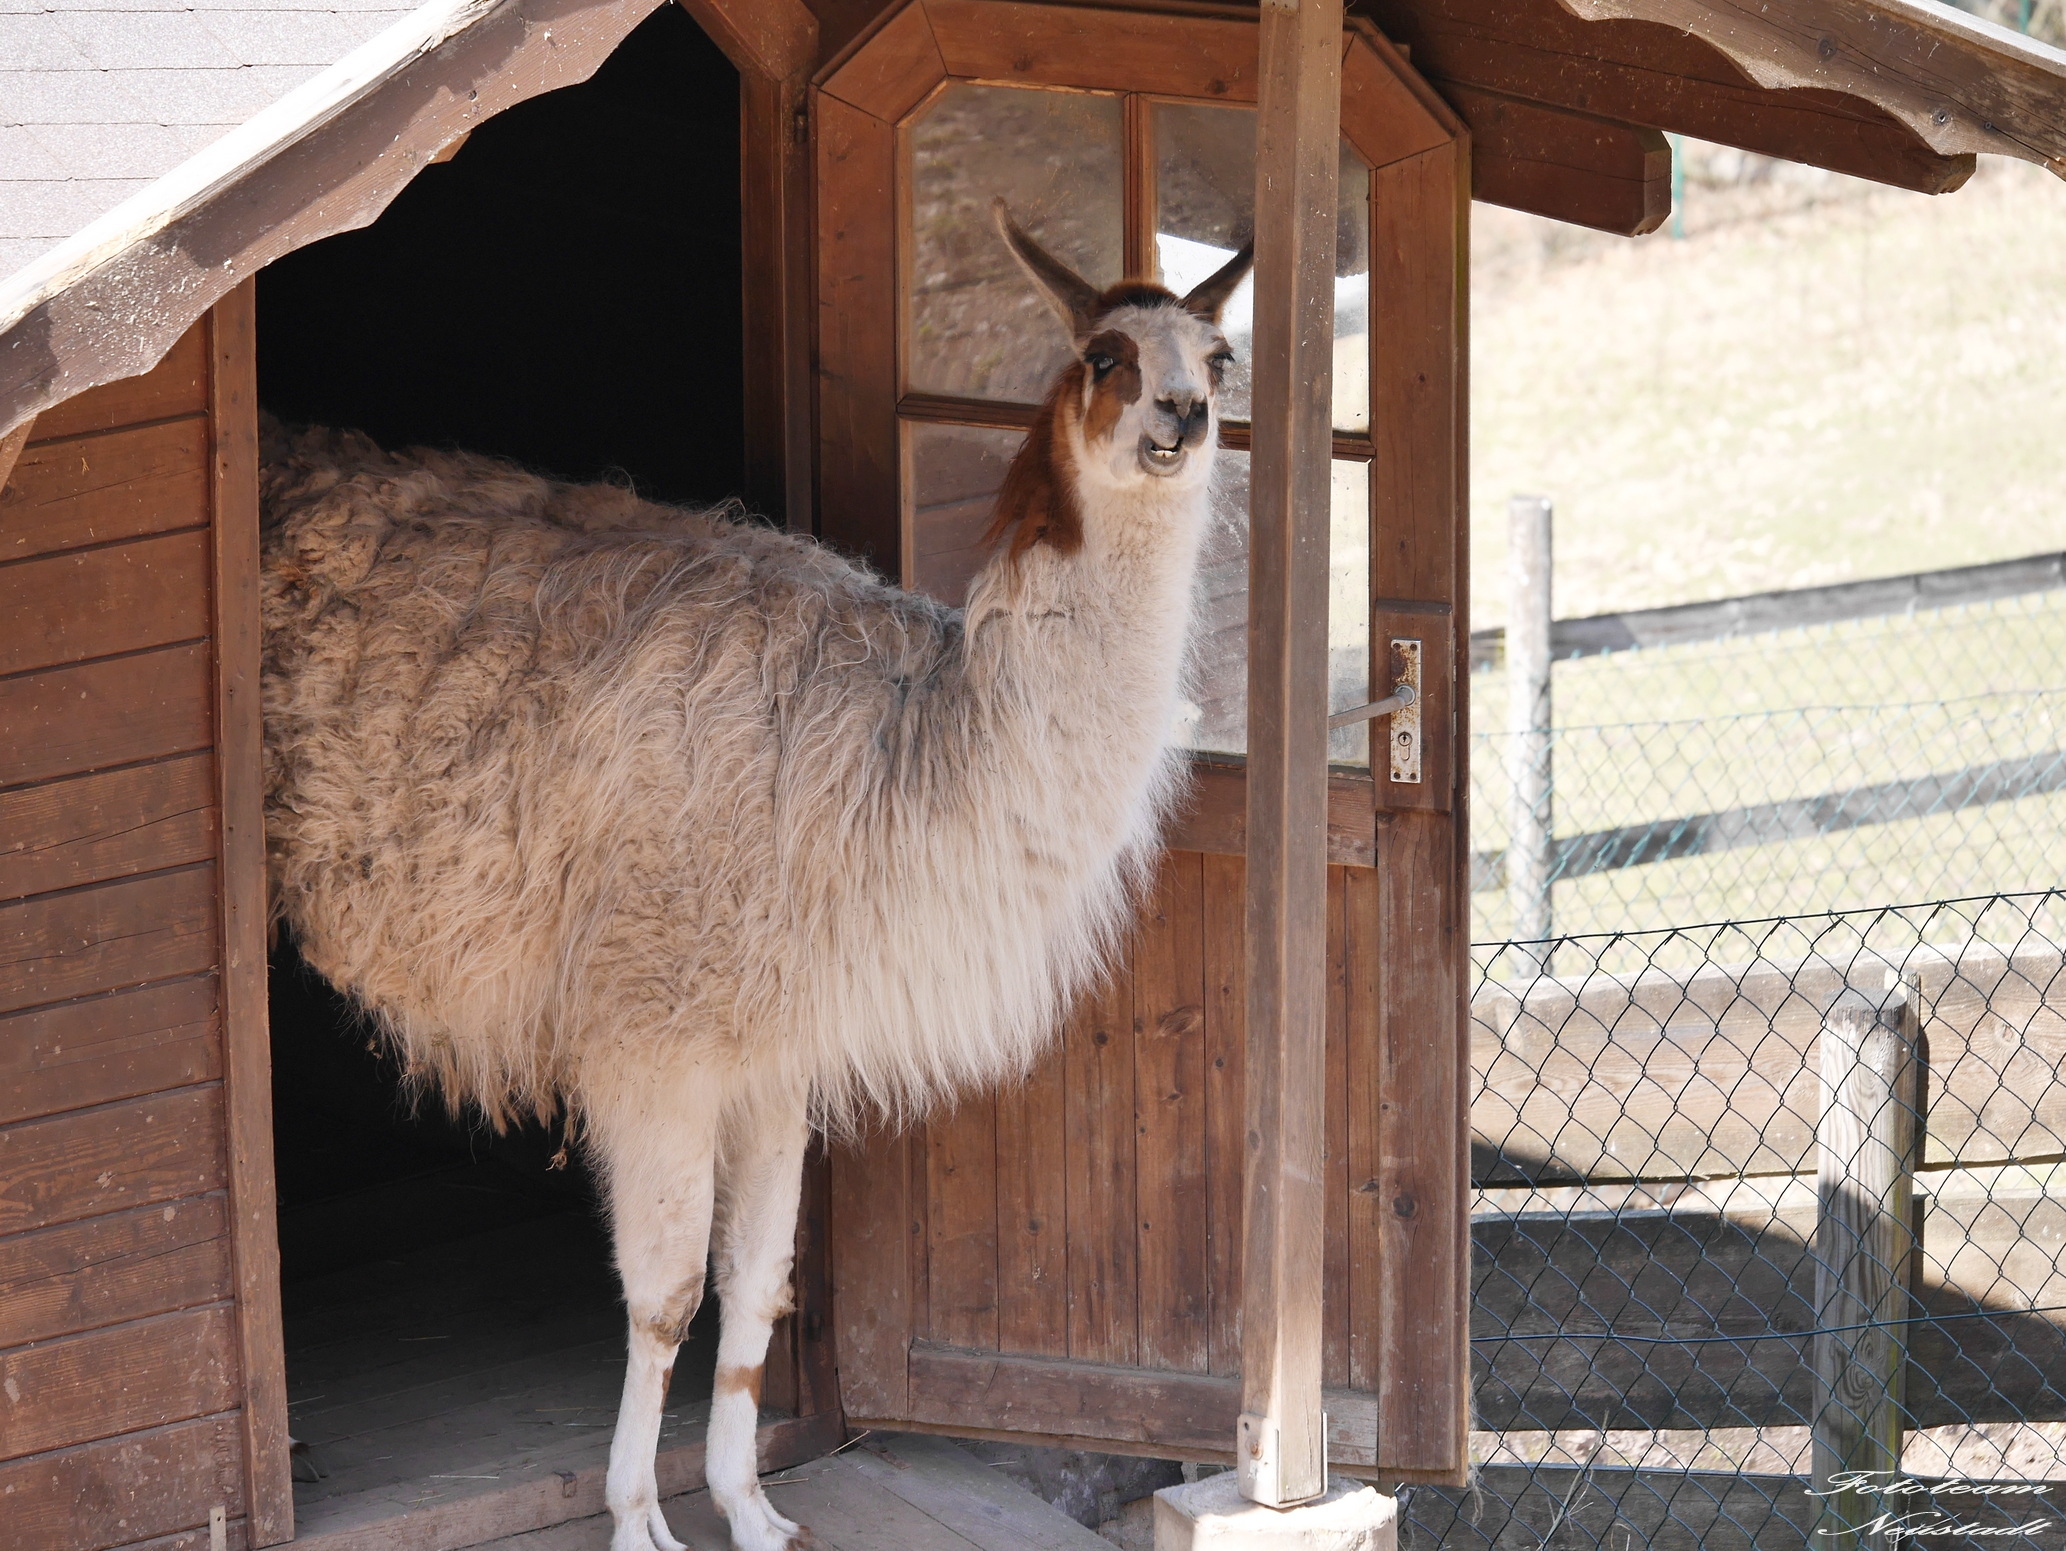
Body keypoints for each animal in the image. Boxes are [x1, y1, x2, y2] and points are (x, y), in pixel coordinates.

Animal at [257, 207, 1250, 1551]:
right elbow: (667, 1295)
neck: (899, 756)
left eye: (1219, 355)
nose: (1181, 415)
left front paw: (748, 1505)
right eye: (1104, 356)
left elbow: (758, 1282)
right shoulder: (652, 1038)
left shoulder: (774, 1053)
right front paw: (638, 1518)